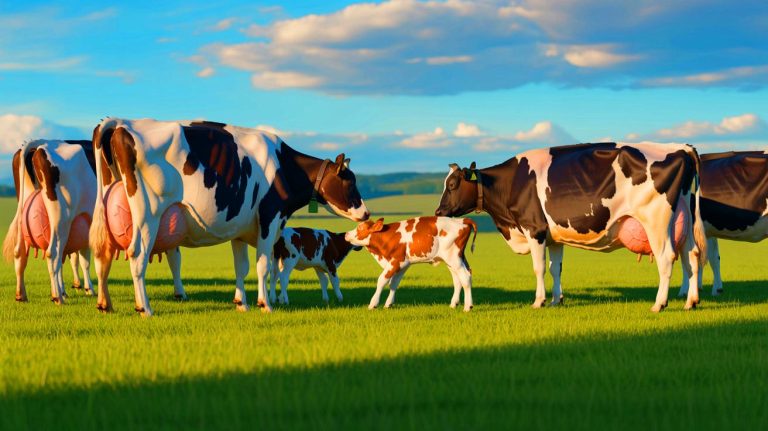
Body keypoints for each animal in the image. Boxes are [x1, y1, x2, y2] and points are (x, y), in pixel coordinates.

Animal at [90, 118, 369, 316]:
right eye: (350, 181)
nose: (366, 213)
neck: (284, 166)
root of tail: (121, 123)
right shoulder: (269, 217)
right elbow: (263, 265)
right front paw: (265, 305)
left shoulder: (240, 228)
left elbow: (241, 267)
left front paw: (241, 303)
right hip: (148, 212)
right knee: (137, 254)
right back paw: (145, 308)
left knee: (103, 254)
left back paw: (105, 304)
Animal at [344, 216, 477, 311]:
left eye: (360, 228)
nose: (346, 234)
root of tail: (461, 220)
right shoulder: (403, 264)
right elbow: (394, 283)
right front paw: (389, 304)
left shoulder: (396, 260)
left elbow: (382, 280)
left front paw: (373, 304)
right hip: (453, 260)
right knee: (459, 279)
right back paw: (454, 304)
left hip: (453, 258)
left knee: (465, 277)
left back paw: (468, 307)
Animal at [435, 142, 707, 312]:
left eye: (453, 185)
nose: (438, 212)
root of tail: (680, 148)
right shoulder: (554, 237)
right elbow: (556, 269)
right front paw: (557, 300)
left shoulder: (535, 230)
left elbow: (538, 268)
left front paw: (539, 301)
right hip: (683, 217)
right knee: (691, 256)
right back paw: (691, 302)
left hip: (656, 220)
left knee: (666, 257)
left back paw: (659, 304)